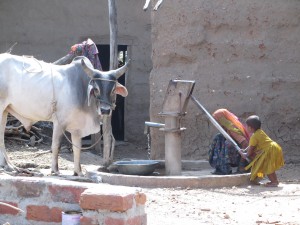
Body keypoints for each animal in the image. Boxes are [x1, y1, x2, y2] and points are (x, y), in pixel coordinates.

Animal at [0, 53, 128, 176]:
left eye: (113, 89)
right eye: (96, 89)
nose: (105, 110)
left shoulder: (77, 128)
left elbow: (77, 148)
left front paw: (78, 172)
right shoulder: (59, 122)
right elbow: (56, 146)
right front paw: (55, 170)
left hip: (5, 111)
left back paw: (8, 166)